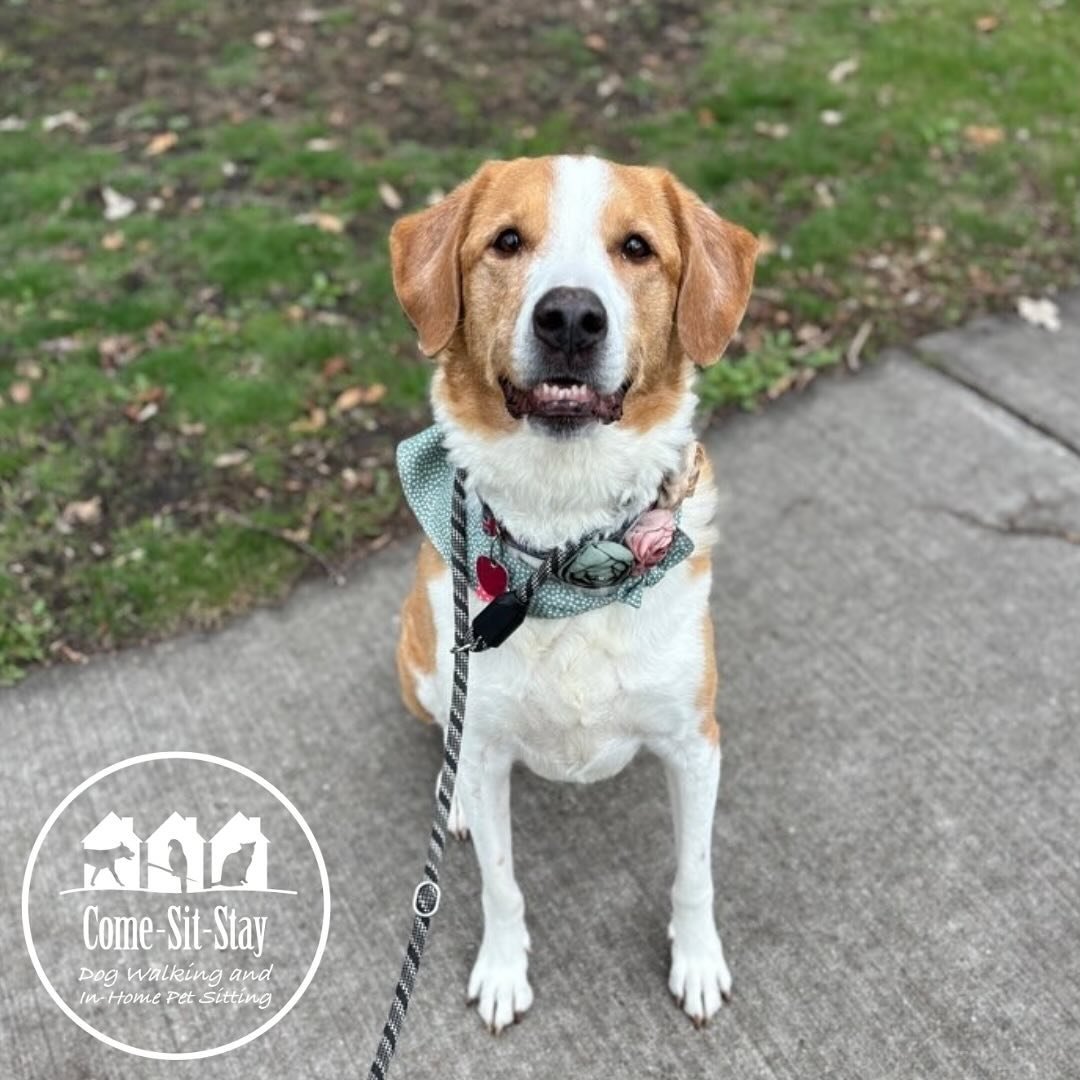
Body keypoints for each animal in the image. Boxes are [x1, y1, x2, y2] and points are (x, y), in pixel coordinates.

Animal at [390, 156, 760, 1032]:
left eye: (637, 248)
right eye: (506, 241)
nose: (569, 318)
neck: (565, 549)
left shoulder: (697, 742)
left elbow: (694, 872)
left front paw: (697, 962)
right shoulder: (488, 745)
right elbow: (501, 886)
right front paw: (502, 970)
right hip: (418, 659)